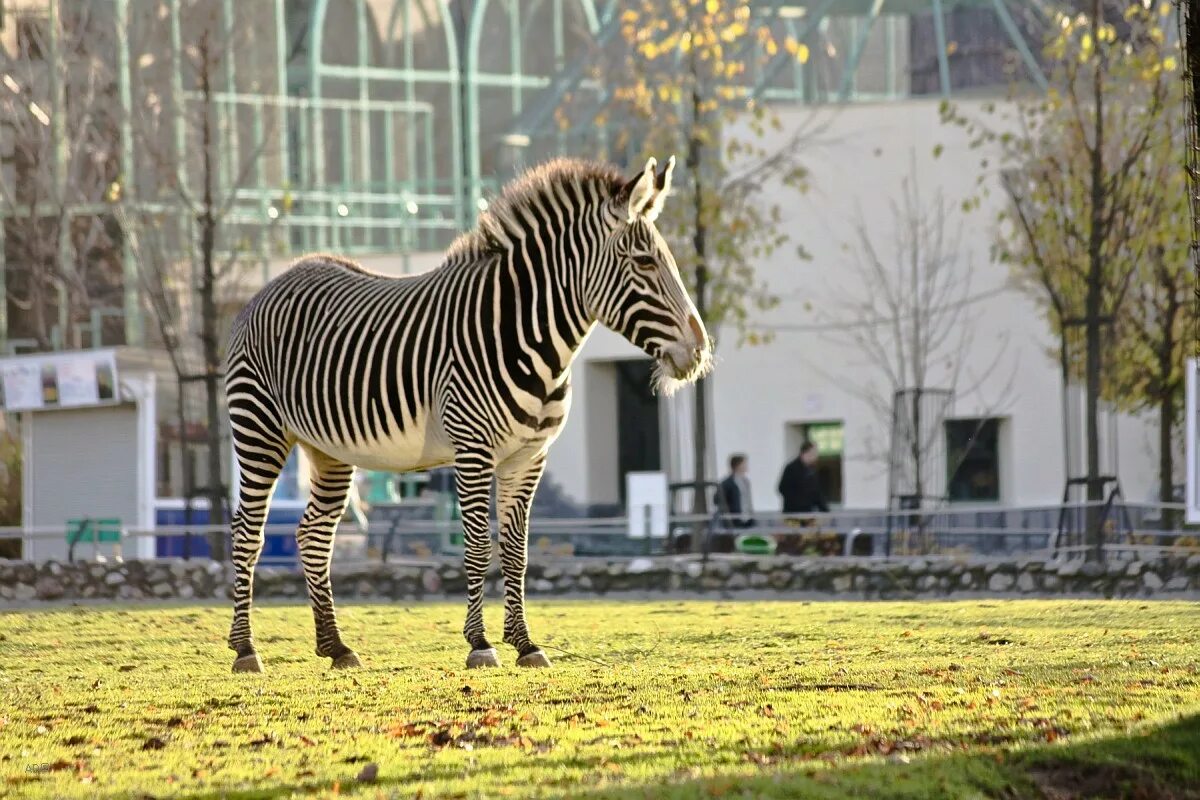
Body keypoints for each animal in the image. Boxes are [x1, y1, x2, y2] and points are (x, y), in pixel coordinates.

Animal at [225, 153, 710, 671]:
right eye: (645, 262)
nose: (699, 350)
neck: (525, 335)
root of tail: (274, 282)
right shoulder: (473, 450)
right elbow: (477, 545)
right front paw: (480, 643)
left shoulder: (529, 457)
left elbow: (516, 551)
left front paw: (525, 643)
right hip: (260, 430)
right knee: (247, 533)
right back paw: (246, 649)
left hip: (328, 450)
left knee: (314, 535)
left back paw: (336, 646)